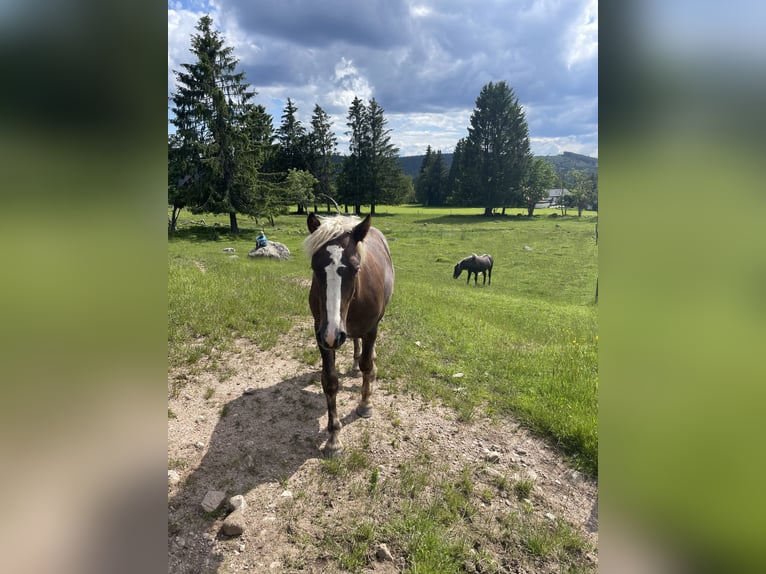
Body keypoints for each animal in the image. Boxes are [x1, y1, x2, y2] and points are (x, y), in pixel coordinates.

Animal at [304, 214, 396, 456]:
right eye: (315, 267)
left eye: (355, 268)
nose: (333, 334)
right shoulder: (321, 332)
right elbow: (330, 381)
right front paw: (333, 439)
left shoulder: (370, 328)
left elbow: (367, 364)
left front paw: (365, 404)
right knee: (355, 342)